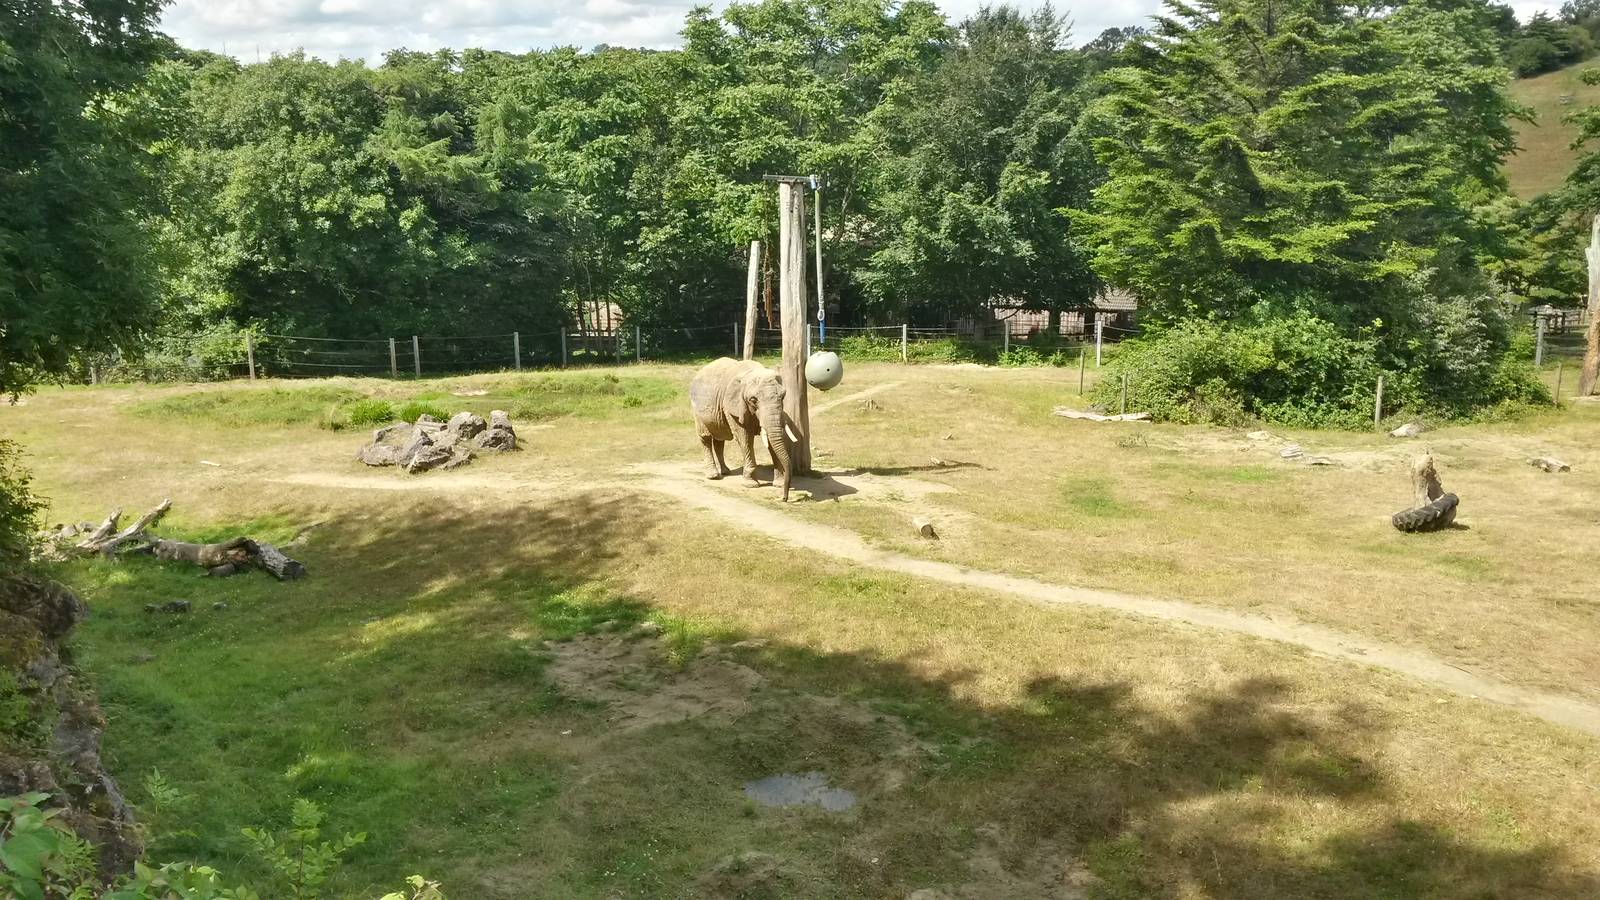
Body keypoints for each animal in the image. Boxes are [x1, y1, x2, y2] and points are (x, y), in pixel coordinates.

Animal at [688, 357, 792, 501]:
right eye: (753, 400)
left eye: (783, 397)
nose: (784, 498)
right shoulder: (733, 406)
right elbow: (745, 438)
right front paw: (751, 484)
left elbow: (770, 440)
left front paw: (779, 484)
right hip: (697, 411)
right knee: (706, 438)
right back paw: (713, 476)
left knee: (720, 439)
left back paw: (726, 471)